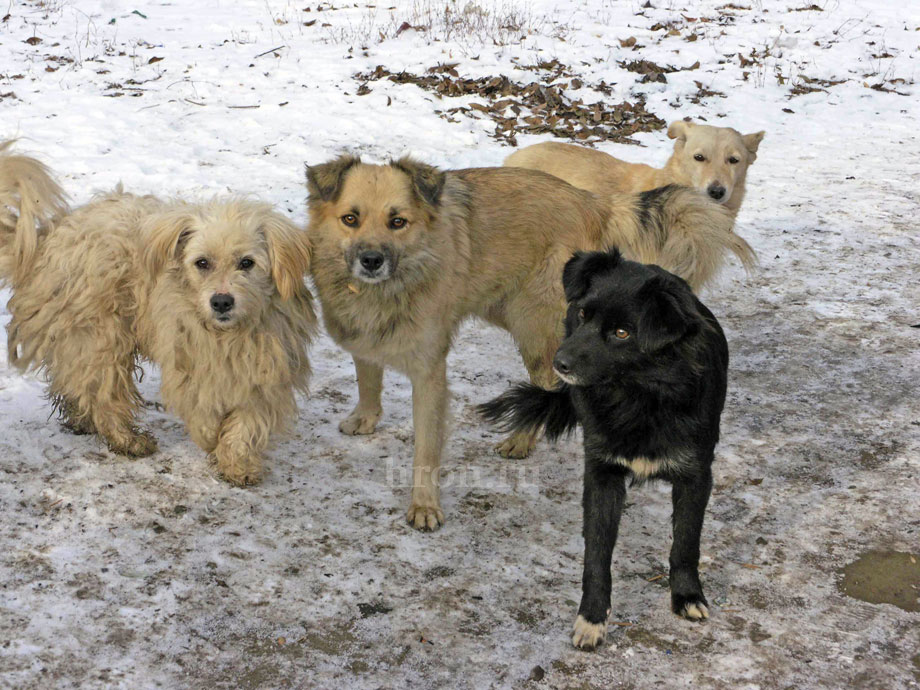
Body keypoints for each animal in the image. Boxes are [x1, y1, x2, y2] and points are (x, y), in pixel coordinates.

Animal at [0, 142, 316, 482]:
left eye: (247, 262)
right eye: (202, 262)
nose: (221, 301)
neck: (228, 335)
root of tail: (49, 239)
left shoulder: (267, 367)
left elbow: (249, 419)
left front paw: (237, 461)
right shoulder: (188, 357)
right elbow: (202, 409)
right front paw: (211, 439)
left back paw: (81, 418)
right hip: (102, 335)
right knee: (103, 393)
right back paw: (126, 439)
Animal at [482, 250, 724, 648]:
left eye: (622, 333)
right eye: (582, 314)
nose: (559, 363)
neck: (638, 396)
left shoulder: (696, 475)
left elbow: (685, 542)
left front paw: (687, 595)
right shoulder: (601, 471)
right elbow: (596, 552)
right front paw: (592, 617)